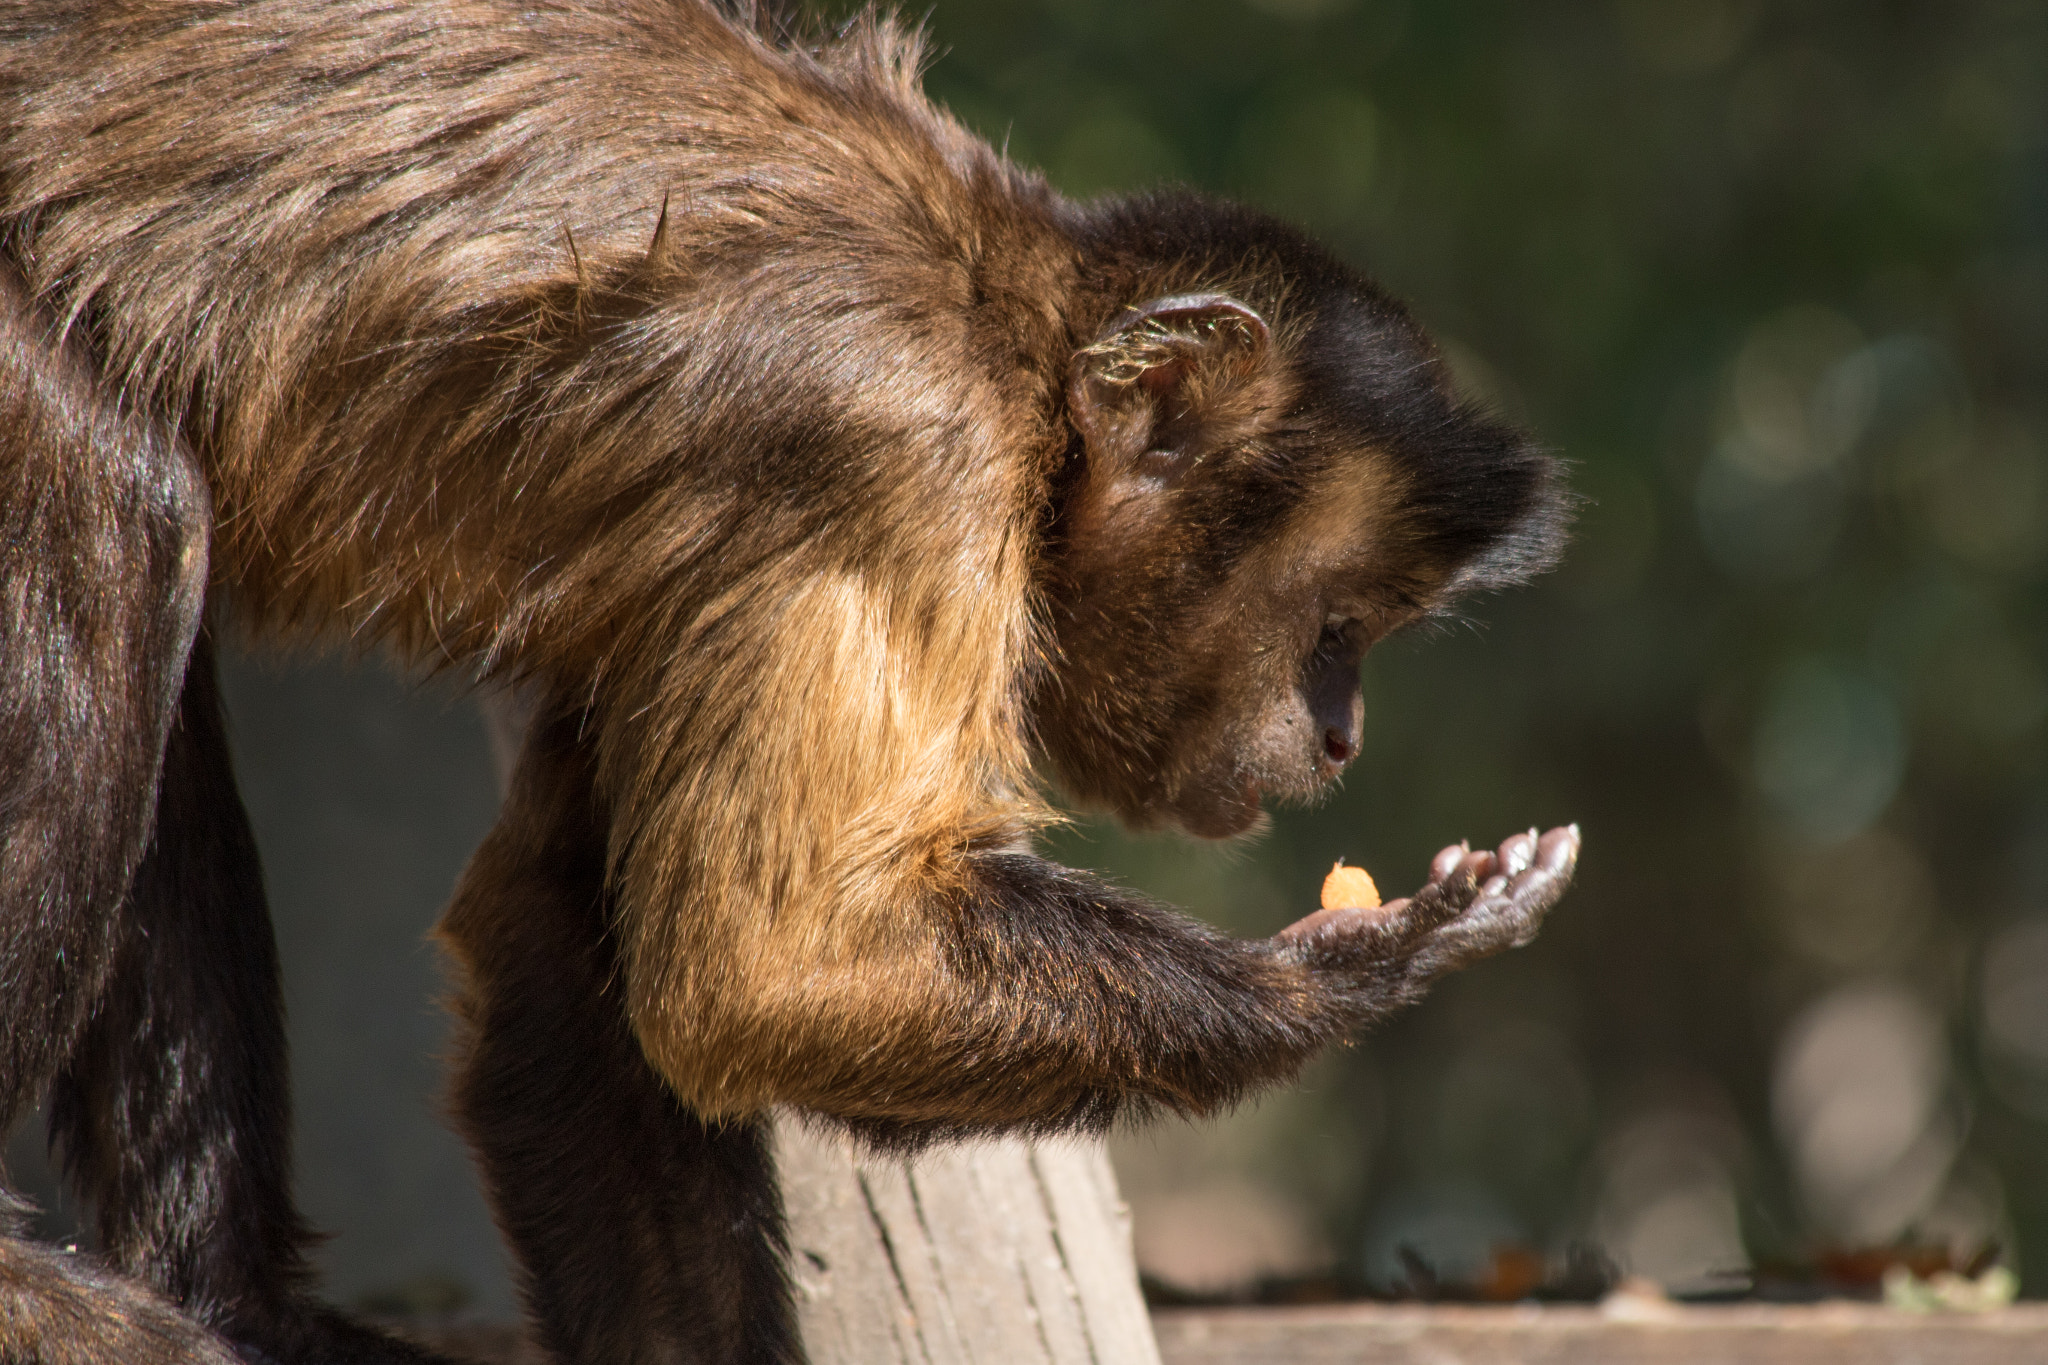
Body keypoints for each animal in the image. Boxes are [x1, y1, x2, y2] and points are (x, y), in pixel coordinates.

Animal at [0, 0, 1578, 1361]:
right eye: (1336, 625)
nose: (1341, 732)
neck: (1012, 339)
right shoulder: (898, 454)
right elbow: (765, 968)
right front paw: (1369, 959)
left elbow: (568, 932)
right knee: (133, 505)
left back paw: (234, 1304)